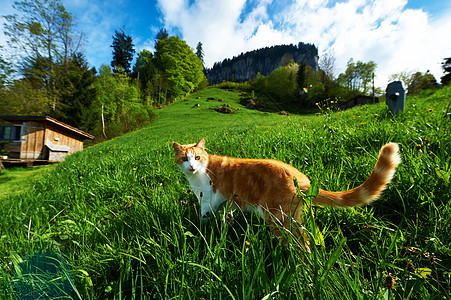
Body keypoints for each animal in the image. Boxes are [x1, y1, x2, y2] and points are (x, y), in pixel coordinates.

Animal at [173, 139, 402, 250]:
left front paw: (203, 232)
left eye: (197, 157)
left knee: (302, 244)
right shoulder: (227, 203)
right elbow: (226, 217)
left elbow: (203, 220)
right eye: (185, 158)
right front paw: (225, 228)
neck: (204, 170)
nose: (191, 166)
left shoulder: (207, 202)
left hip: (278, 219)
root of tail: (300, 177)